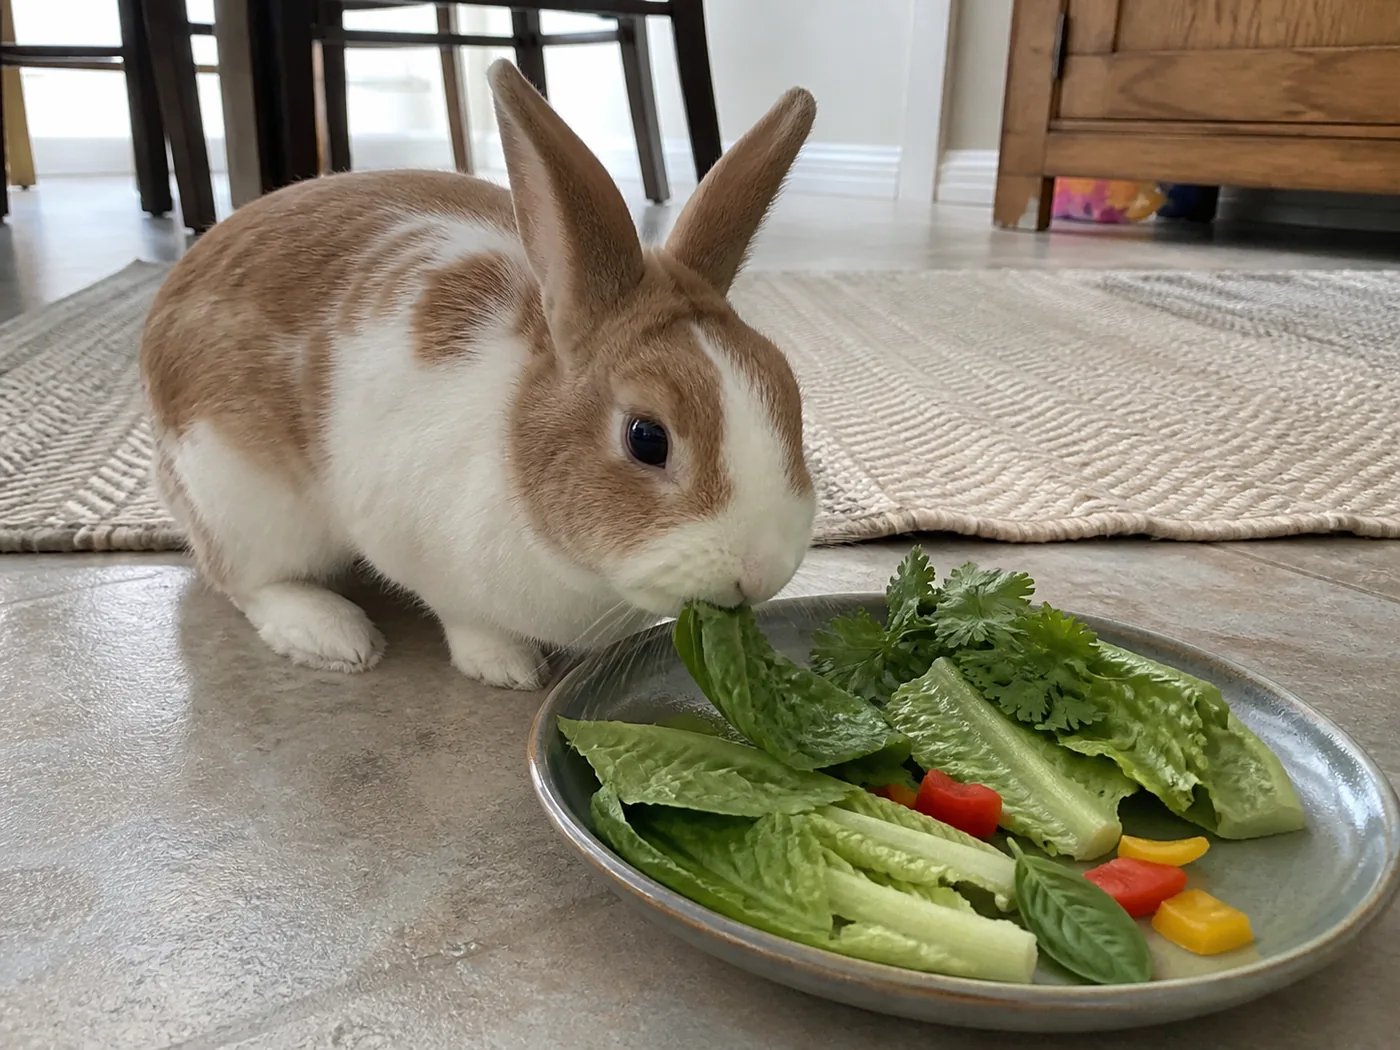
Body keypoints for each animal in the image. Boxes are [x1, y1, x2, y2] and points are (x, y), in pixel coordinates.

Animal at [140, 60, 818, 689]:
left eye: (792, 397)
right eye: (647, 438)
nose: (761, 571)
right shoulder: (415, 545)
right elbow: (466, 619)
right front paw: (507, 667)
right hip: (241, 500)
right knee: (246, 582)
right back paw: (333, 635)